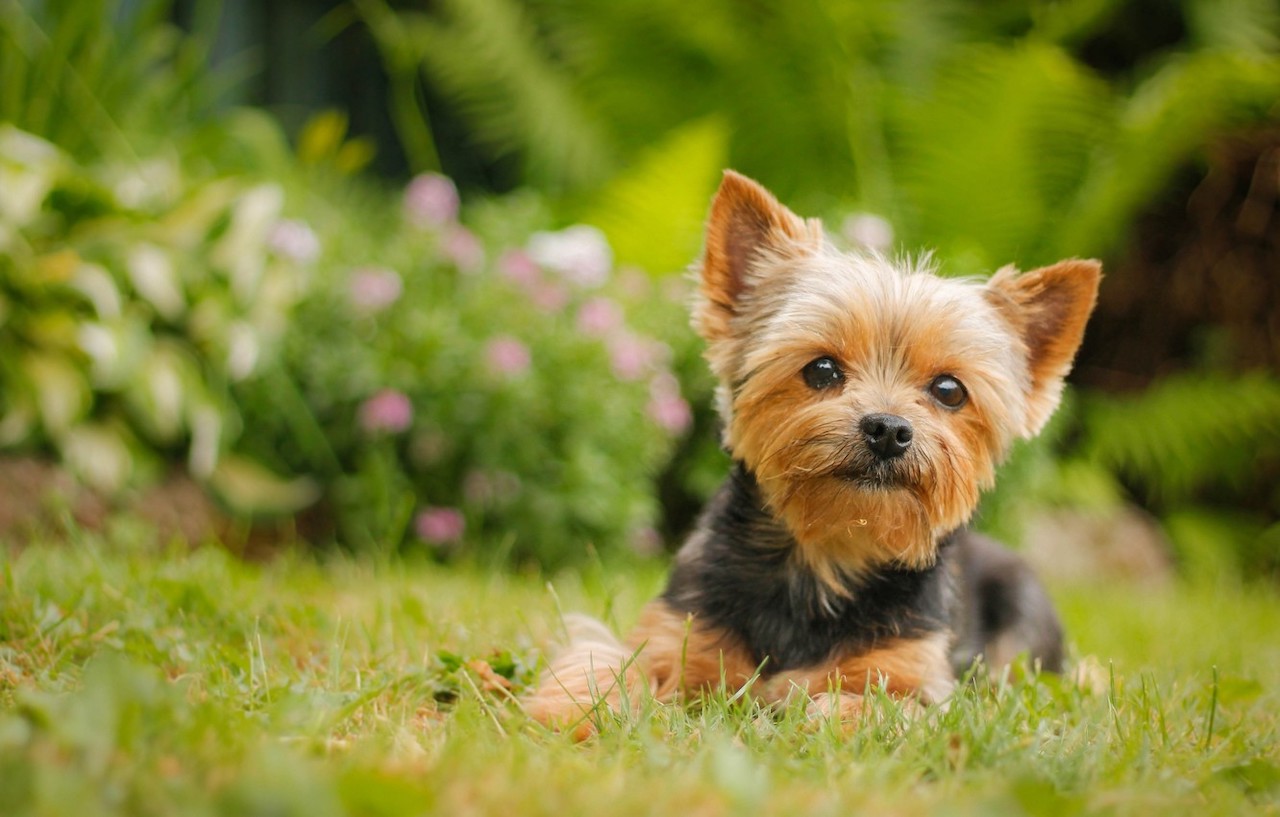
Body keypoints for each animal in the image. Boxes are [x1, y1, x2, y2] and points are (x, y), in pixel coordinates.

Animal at [522, 169, 1100, 732]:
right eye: (821, 369)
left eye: (949, 390)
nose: (888, 429)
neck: (826, 555)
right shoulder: (678, 630)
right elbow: (608, 661)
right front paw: (576, 710)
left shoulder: (917, 675)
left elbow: (879, 703)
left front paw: (823, 710)